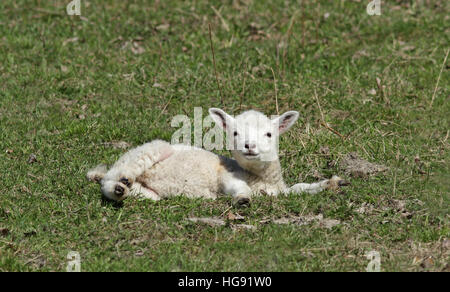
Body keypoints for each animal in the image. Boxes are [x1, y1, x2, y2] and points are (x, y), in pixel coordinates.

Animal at [87, 108, 348, 206]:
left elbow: (300, 188)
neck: (261, 178)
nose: (249, 146)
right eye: (234, 133)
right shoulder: (226, 174)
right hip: (150, 150)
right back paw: (117, 185)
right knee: (113, 176)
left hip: (151, 193)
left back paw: (125, 189)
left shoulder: (280, 191)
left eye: (269, 133)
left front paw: (331, 183)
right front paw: (243, 199)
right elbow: (237, 186)